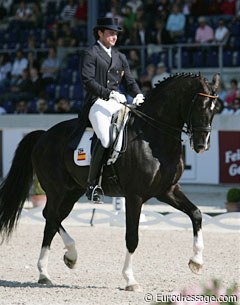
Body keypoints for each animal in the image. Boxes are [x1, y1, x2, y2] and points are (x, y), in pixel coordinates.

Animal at [0, 71, 220, 290]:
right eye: (200, 106)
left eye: (215, 109)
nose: (202, 145)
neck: (153, 138)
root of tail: (43, 135)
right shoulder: (134, 196)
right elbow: (132, 237)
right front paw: (130, 279)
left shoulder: (167, 190)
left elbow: (196, 213)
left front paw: (196, 262)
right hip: (56, 190)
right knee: (51, 217)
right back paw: (56, 264)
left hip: (72, 191)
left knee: (53, 219)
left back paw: (58, 265)